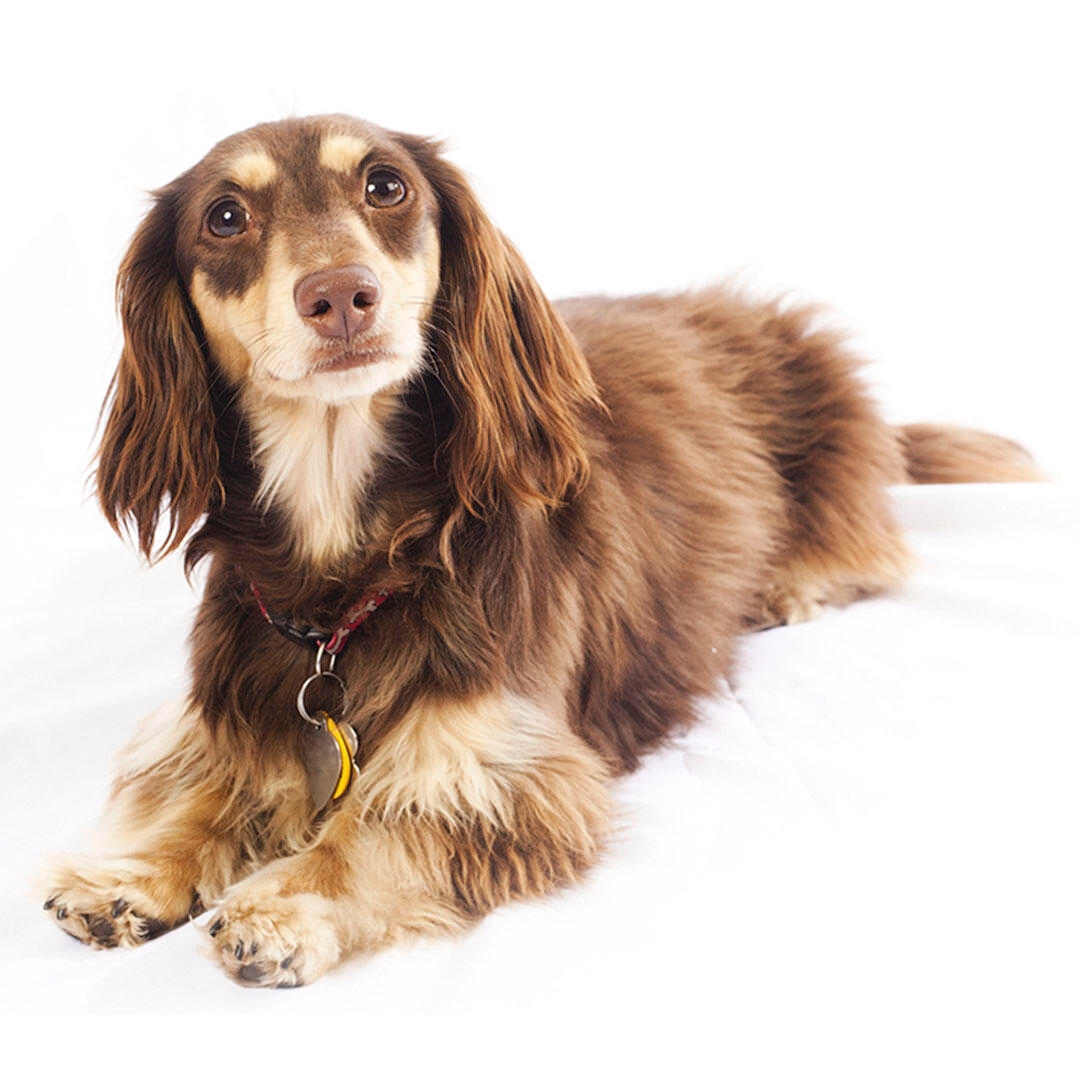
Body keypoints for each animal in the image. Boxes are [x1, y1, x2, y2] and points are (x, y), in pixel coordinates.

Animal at [38, 113, 1041, 984]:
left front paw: (285, 906)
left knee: (862, 532)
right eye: (225, 216)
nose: (340, 296)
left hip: (824, 411)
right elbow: (202, 783)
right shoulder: (230, 705)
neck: (354, 574)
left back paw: (794, 581)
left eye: (386, 184)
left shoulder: (501, 767)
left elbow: (371, 829)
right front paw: (131, 874)